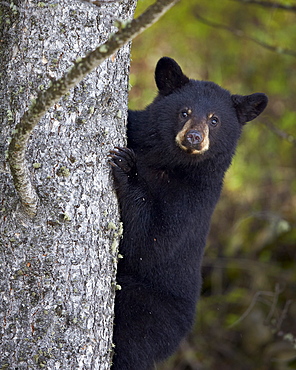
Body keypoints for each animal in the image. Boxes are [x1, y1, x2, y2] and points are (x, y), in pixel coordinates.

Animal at [109, 56, 268, 368]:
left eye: (215, 120)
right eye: (185, 112)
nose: (194, 137)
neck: (167, 162)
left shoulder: (195, 198)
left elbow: (154, 242)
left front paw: (127, 168)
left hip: (149, 311)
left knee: (131, 345)